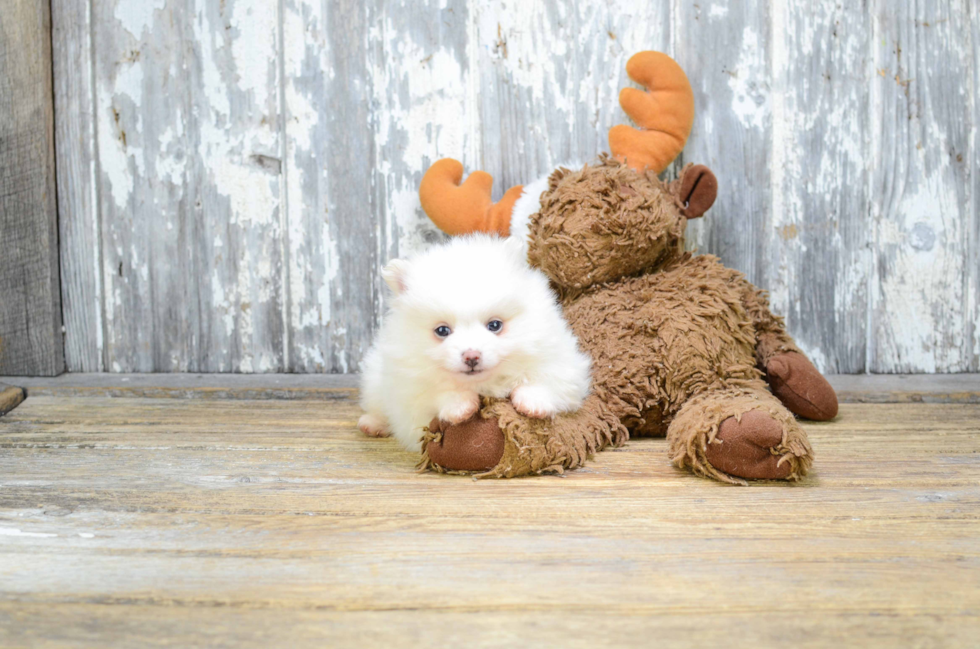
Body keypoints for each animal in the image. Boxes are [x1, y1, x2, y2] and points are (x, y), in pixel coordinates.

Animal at [360, 233, 588, 450]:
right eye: (442, 330)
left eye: (494, 325)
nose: (471, 356)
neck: (484, 384)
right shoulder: (408, 396)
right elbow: (434, 396)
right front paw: (460, 405)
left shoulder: (565, 366)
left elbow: (549, 382)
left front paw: (532, 402)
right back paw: (372, 424)